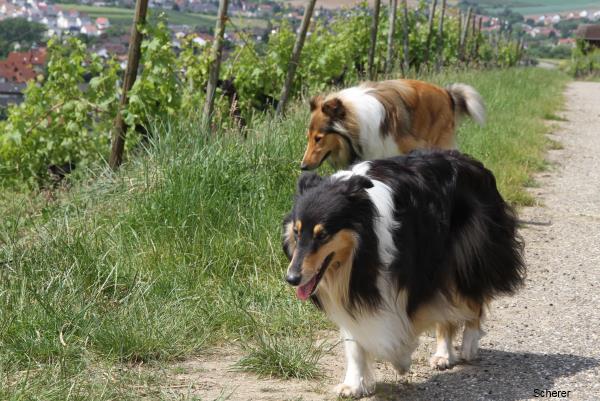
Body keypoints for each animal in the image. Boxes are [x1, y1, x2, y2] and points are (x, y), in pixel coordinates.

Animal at [282, 150, 524, 397]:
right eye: (296, 231)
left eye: (322, 235)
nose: (291, 279)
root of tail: (471, 161)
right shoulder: (351, 289)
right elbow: (354, 340)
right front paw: (353, 384)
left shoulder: (412, 272)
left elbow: (401, 320)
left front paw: (400, 357)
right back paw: (443, 354)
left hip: (465, 255)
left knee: (473, 297)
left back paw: (469, 344)